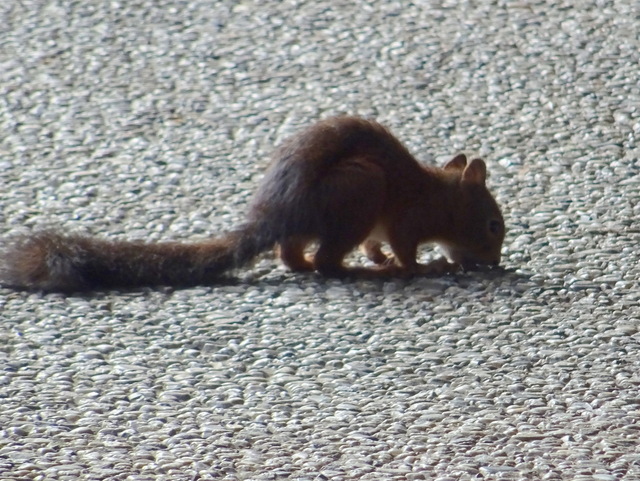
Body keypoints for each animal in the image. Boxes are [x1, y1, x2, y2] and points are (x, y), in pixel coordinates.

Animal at [0, 116, 505, 292]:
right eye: (494, 226)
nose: (496, 263)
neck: (442, 196)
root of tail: (275, 215)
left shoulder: (381, 230)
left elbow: (377, 245)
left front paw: (384, 259)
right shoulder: (404, 220)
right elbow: (403, 250)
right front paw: (424, 265)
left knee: (295, 257)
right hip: (361, 190)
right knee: (325, 262)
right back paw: (366, 273)